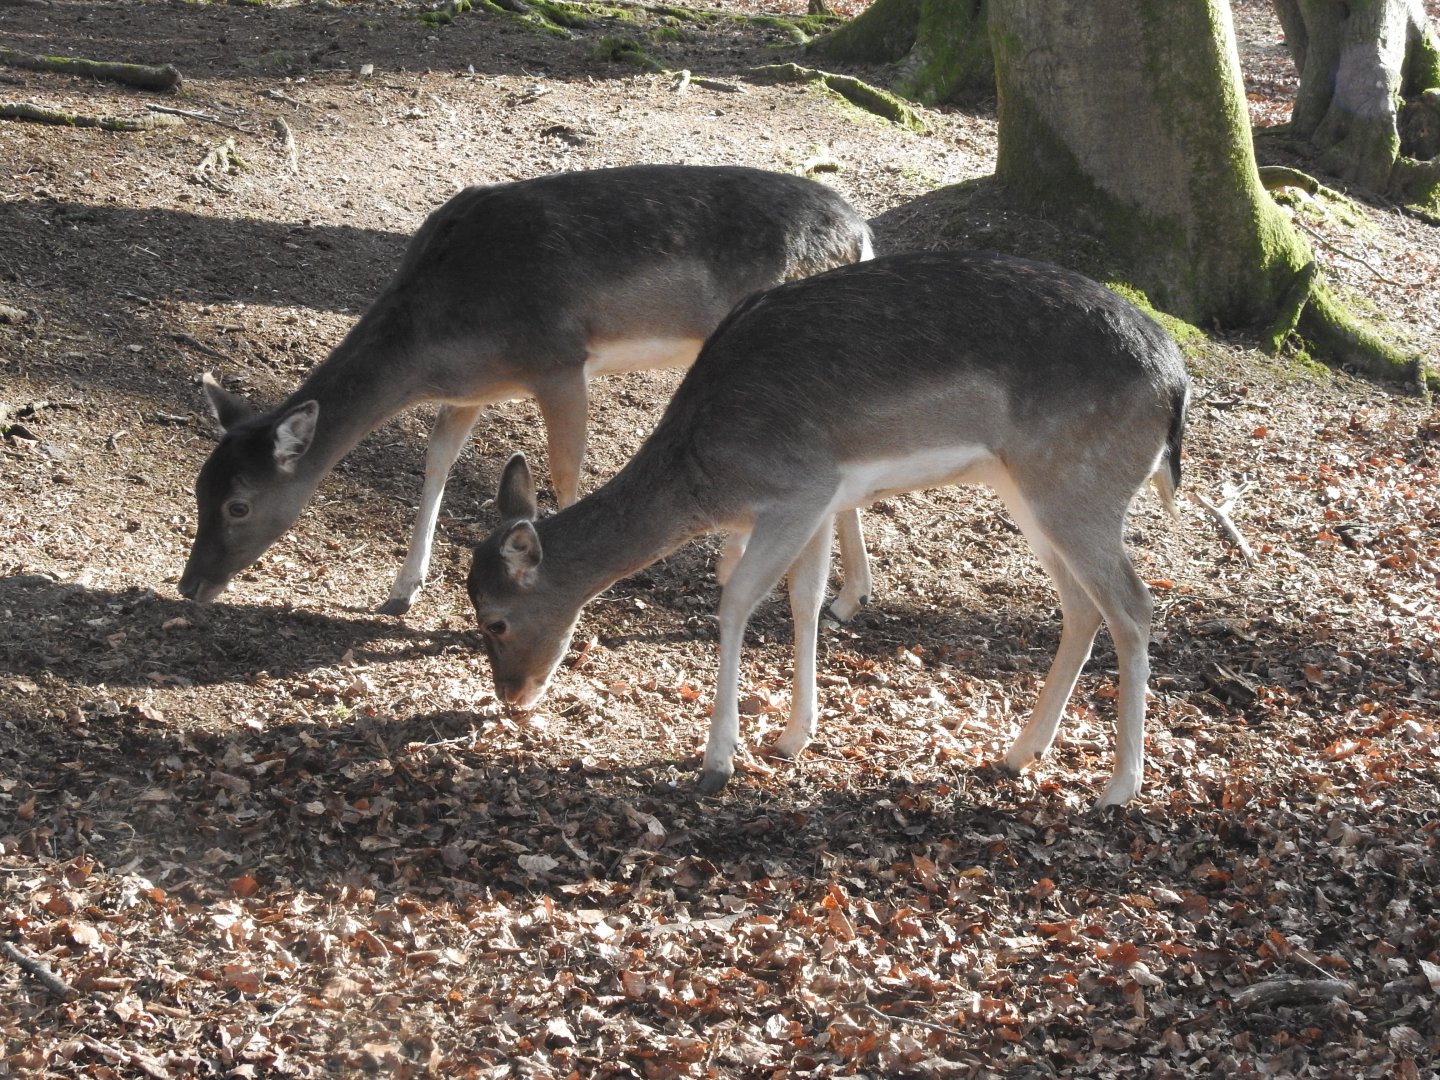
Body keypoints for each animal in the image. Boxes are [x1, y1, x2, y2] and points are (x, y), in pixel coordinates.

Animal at [178, 164, 875, 617]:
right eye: (198, 485)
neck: (439, 336)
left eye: (238, 504)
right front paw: (402, 590)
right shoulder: (473, 387)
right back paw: (847, 597)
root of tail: (862, 232)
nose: (190, 585)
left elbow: (566, 471)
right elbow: (438, 458)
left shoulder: (559, 361)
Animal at [466, 250, 1191, 808]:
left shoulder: (797, 491)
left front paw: (717, 760)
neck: (707, 469)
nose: (510, 695)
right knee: (1082, 608)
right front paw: (793, 735)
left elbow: (736, 600)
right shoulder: (818, 503)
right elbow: (805, 598)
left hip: (1078, 488)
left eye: (496, 620)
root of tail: (1176, 381)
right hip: (1031, 490)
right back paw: (1019, 754)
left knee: (1134, 607)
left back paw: (1120, 787)